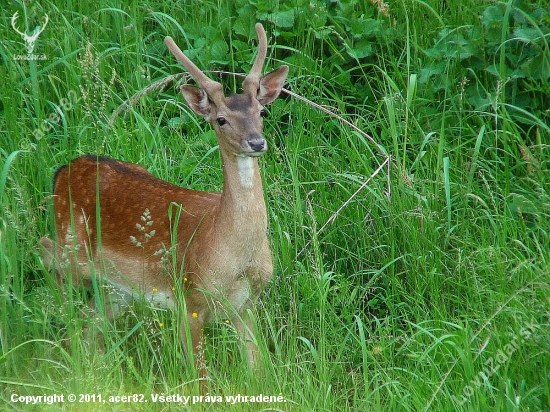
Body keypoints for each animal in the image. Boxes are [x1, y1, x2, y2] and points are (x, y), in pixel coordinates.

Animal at [41, 22, 292, 388]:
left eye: (261, 111)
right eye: (220, 119)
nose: (256, 142)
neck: (232, 253)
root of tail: (62, 170)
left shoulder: (247, 304)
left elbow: (258, 371)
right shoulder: (189, 300)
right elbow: (201, 383)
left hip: (122, 286)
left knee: (91, 319)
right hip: (71, 247)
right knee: (47, 257)